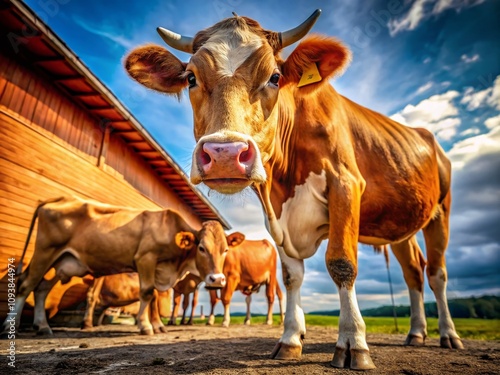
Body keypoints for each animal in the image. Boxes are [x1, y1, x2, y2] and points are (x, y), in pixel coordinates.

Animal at [0, 197, 231, 338]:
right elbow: (148, 294)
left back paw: (43, 326)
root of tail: (63, 199)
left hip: (61, 261)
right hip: (45, 251)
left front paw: (156, 325)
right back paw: (10, 326)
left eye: (226, 250)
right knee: (25, 285)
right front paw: (146, 326)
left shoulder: (156, 268)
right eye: (201, 248)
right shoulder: (145, 258)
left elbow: (153, 298)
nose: (217, 280)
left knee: (41, 288)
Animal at [124, 8, 464, 370]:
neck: (285, 177)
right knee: (413, 271)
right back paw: (416, 332)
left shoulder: (346, 185)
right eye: (190, 78)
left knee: (437, 273)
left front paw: (353, 342)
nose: (225, 154)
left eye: (275, 77)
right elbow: (291, 277)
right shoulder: (275, 212)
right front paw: (290, 339)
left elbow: (342, 263)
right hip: (400, 225)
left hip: (441, 212)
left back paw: (447, 335)